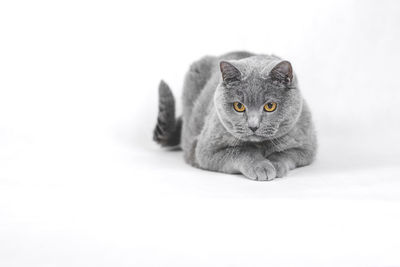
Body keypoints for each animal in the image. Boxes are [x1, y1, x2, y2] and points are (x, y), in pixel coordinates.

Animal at [153, 51, 316, 181]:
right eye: (239, 106)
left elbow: (284, 153)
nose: (253, 126)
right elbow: (242, 151)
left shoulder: (306, 147)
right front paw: (262, 166)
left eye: (270, 106)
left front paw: (275, 165)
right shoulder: (205, 150)